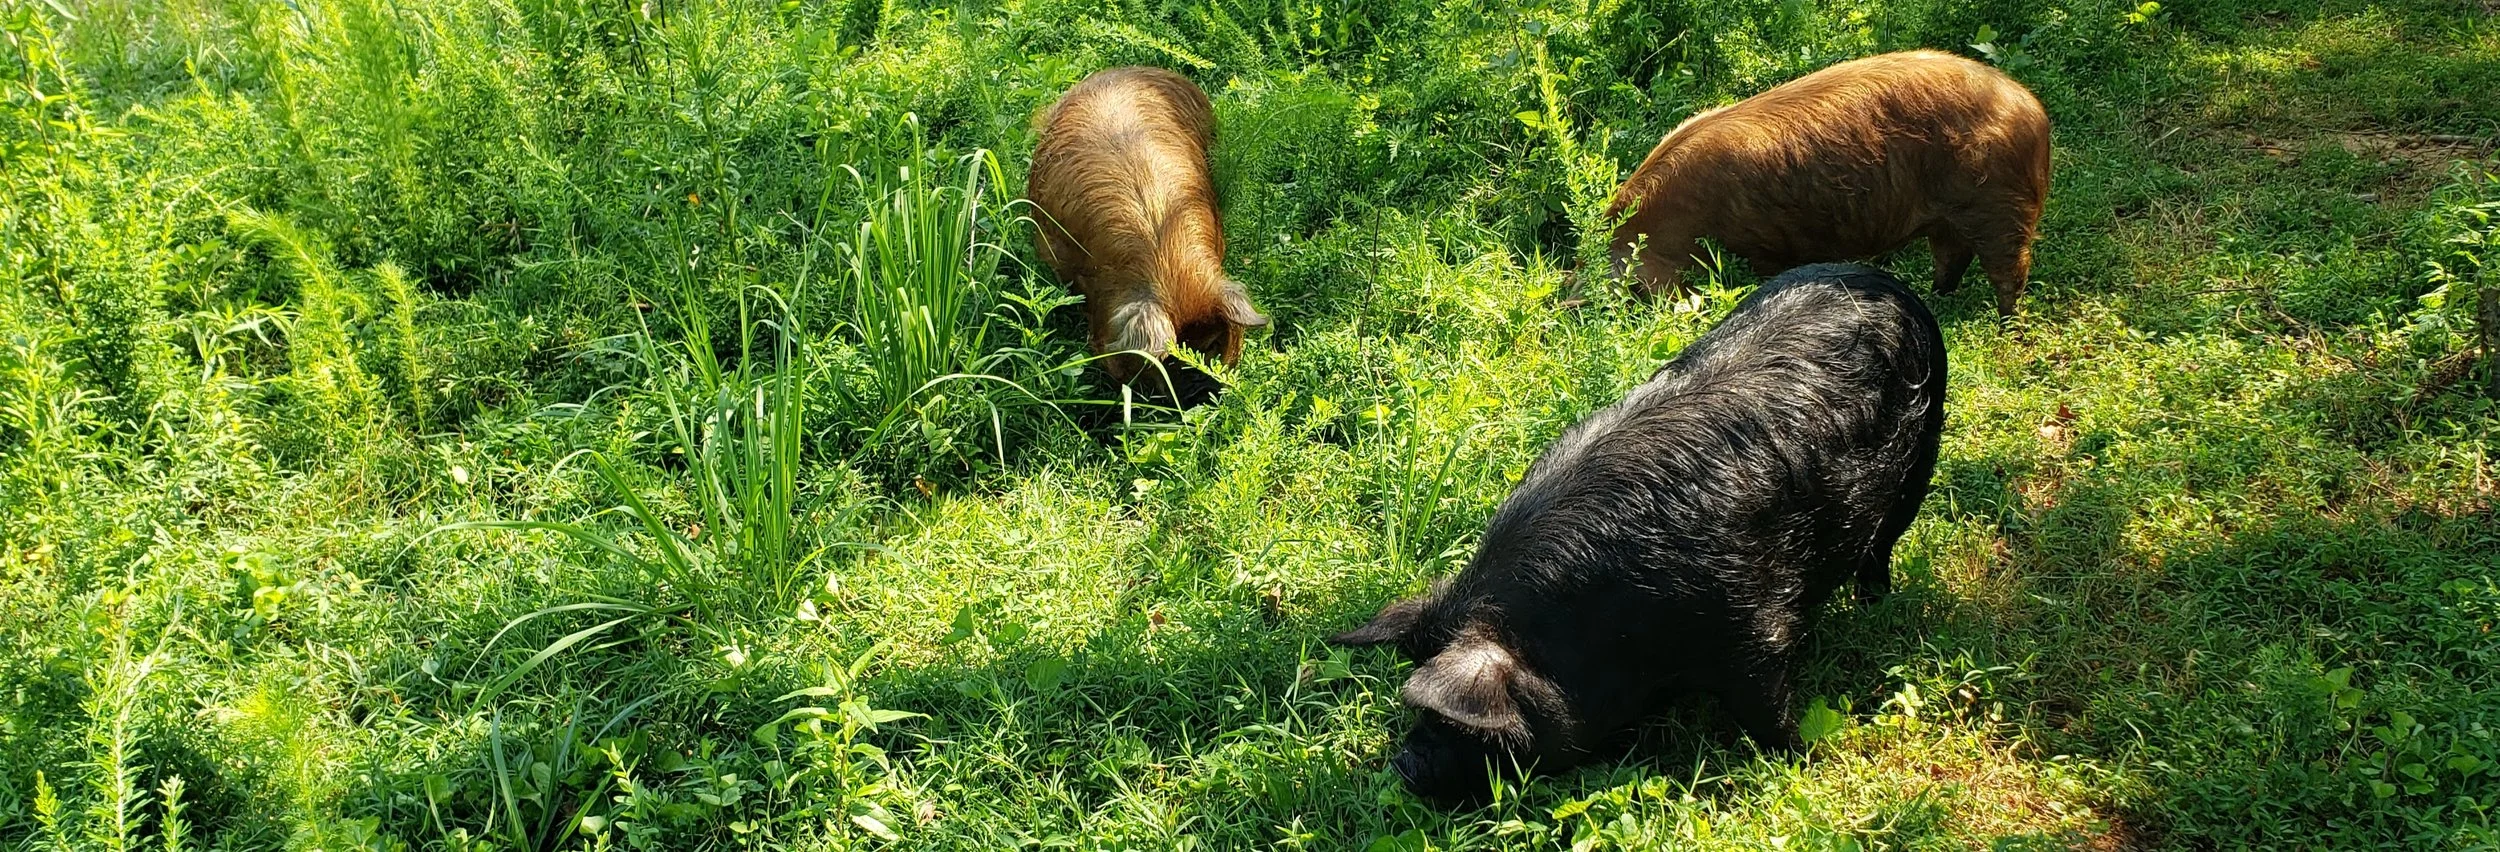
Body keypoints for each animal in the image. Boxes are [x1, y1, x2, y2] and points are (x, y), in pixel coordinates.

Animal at [1331, 263, 1947, 803]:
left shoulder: (1756, 626)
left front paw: (1801, 758)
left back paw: (1873, 604)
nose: (1404, 765)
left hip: (1921, 457)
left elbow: (1766, 708)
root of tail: (1882, 278)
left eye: (1460, 727)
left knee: (1882, 548)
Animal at [1602, 50, 2050, 317]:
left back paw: (2005, 323)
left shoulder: (1762, 246)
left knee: (2010, 269)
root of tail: (2033, 111)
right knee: (1952, 258)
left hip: (1998, 204)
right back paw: (1935, 298)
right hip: (1949, 217)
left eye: (1634, 288)